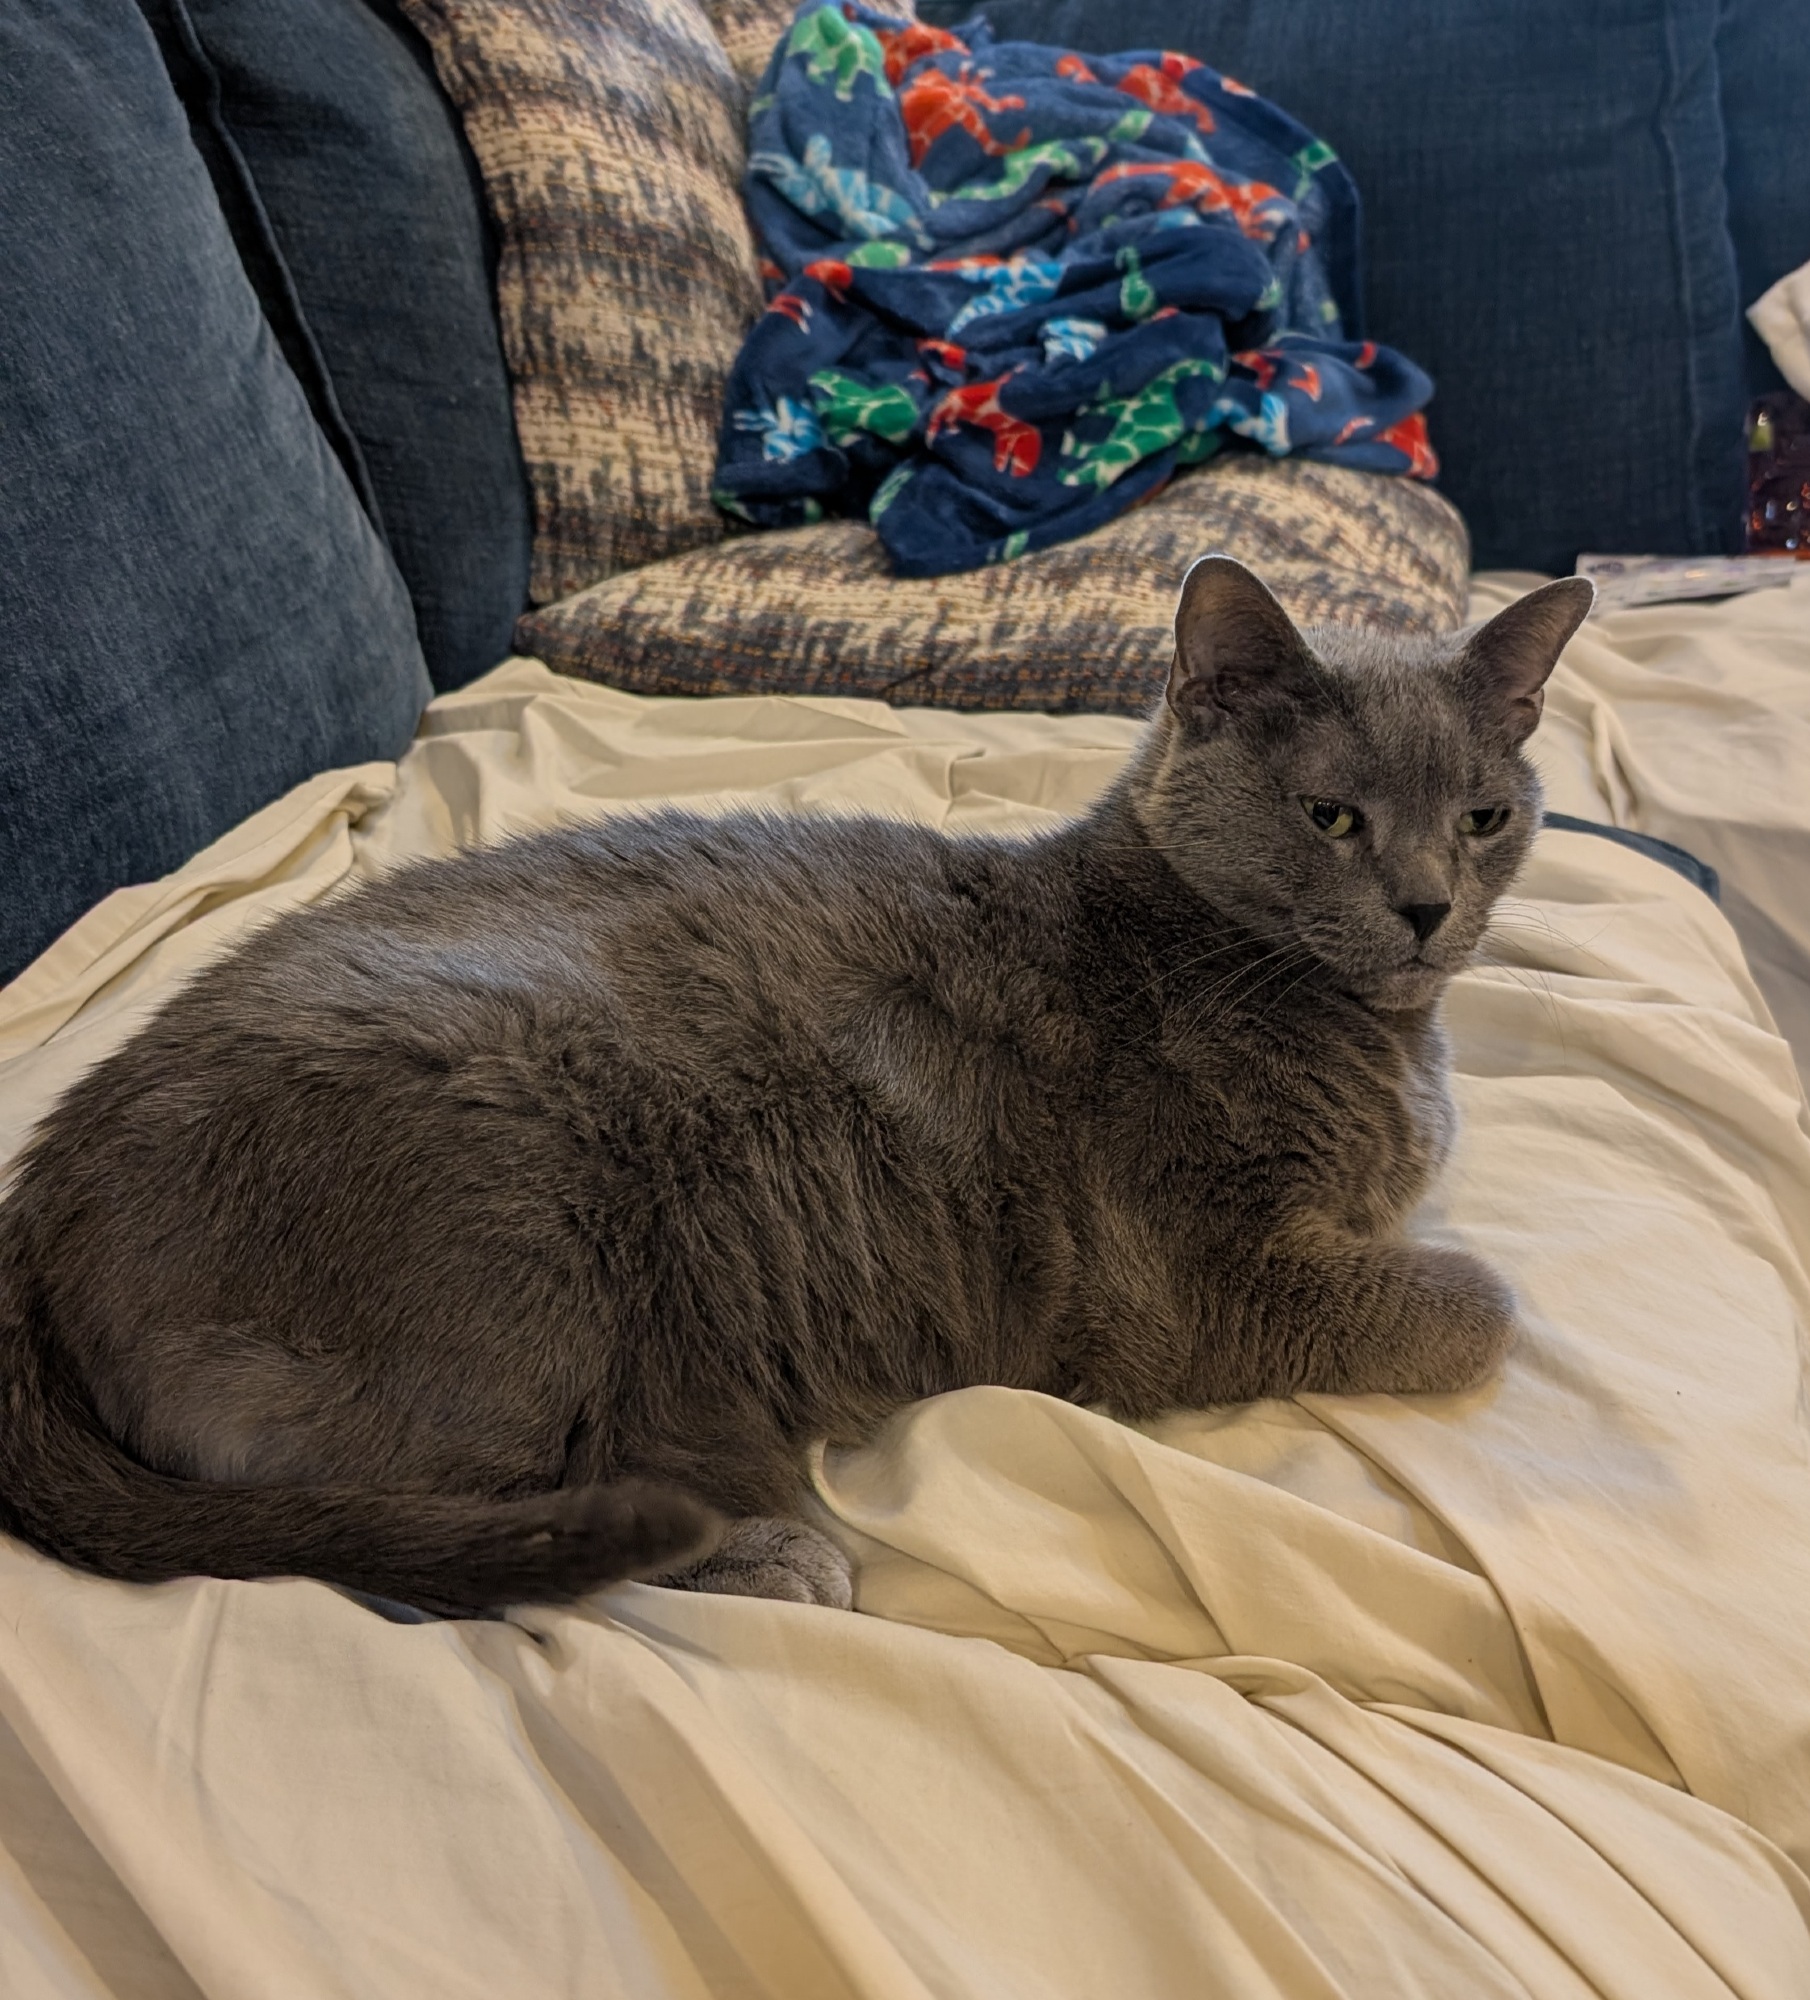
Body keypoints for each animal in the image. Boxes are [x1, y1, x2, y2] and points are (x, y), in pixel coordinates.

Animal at [0, 557, 1594, 1616]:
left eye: (1484, 818)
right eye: (1331, 816)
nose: (1426, 906)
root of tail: (38, 1193)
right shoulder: (1190, 1285)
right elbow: (1480, 1303)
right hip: (520, 1184)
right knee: (438, 1527)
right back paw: (767, 1551)